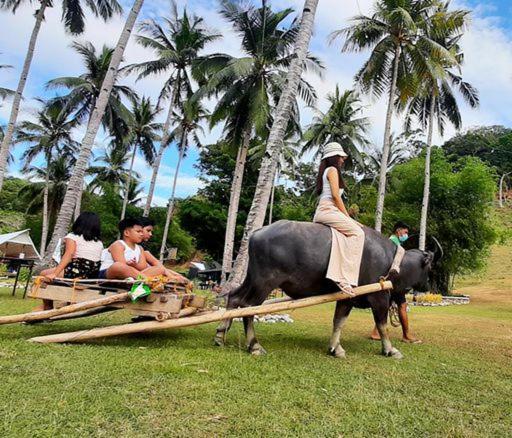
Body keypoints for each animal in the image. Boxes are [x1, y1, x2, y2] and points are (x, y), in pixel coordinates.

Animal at [214, 221, 434, 358]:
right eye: (429, 268)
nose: (427, 285)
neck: (391, 261)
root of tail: (257, 233)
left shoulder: (347, 297)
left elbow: (339, 321)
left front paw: (335, 348)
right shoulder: (378, 296)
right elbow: (382, 324)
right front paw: (390, 349)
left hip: (252, 278)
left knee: (234, 298)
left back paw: (220, 335)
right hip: (264, 283)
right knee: (248, 308)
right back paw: (254, 346)